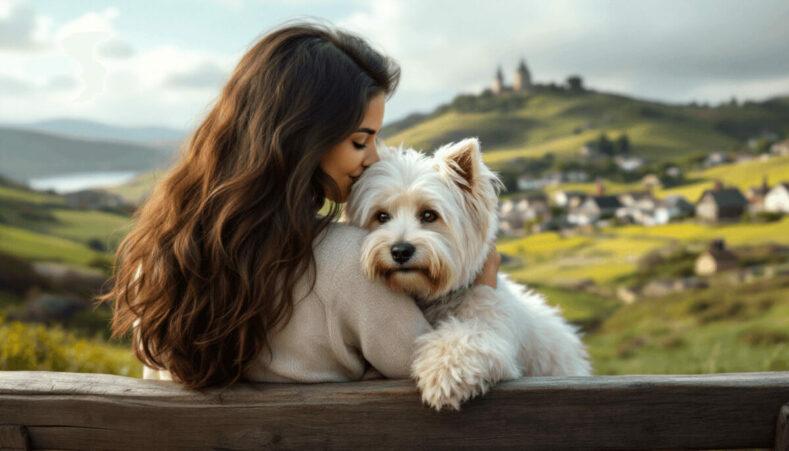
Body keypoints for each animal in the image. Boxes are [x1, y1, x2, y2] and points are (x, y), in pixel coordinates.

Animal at [346, 139, 592, 414]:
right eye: (381, 216)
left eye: (429, 215)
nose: (400, 251)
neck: (431, 296)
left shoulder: (492, 330)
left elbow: (465, 337)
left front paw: (443, 373)